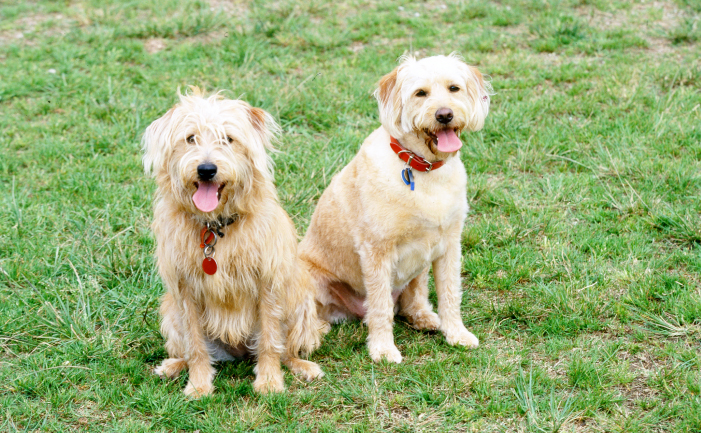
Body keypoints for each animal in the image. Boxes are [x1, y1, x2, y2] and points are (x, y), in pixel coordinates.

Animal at [143, 88, 328, 394]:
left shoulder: (267, 282)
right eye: (190, 138)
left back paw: (303, 366)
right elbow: (195, 345)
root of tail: (238, 351)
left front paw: (269, 381)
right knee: (187, 349)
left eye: (228, 139)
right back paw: (173, 365)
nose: (206, 169)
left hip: (301, 302)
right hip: (169, 309)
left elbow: (270, 340)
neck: (215, 227)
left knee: (287, 349)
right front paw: (198, 385)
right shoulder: (185, 290)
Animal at [298, 54, 490, 364]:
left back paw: (425, 317)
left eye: (454, 88)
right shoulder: (377, 251)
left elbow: (450, 293)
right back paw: (316, 330)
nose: (444, 115)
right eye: (420, 93)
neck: (423, 169)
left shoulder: (449, 244)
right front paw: (383, 349)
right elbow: (380, 306)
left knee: (415, 296)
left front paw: (456, 334)